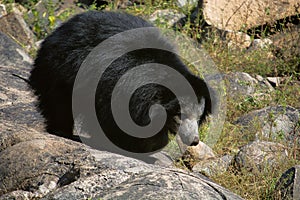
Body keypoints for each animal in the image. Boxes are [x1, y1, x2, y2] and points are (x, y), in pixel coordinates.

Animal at [28, 10, 213, 153]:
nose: (194, 140)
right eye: (181, 115)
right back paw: (61, 129)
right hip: (61, 69)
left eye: (199, 117)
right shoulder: (117, 85)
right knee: (59, 102)